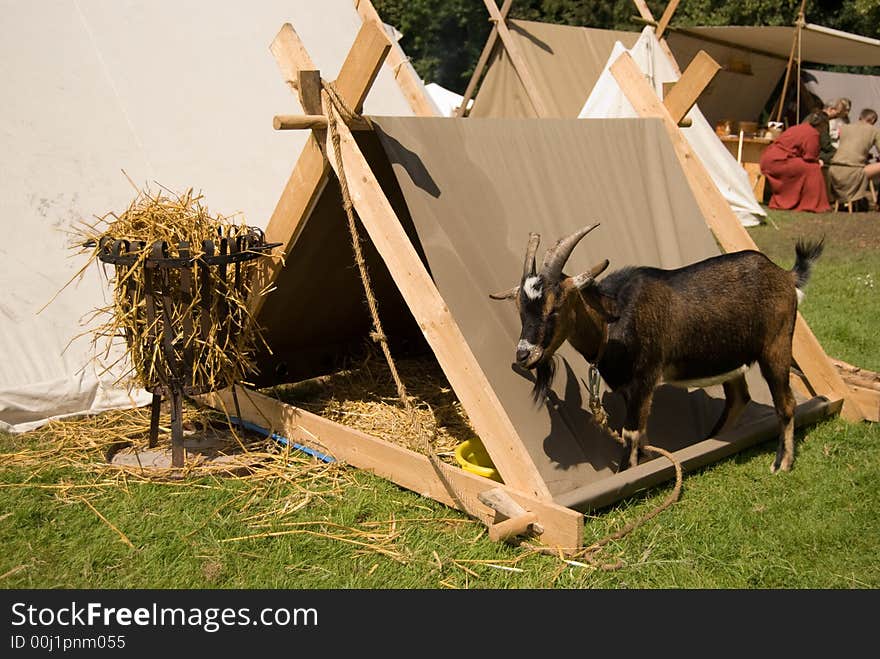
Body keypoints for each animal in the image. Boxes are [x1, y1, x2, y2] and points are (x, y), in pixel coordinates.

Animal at [492, 226, 820, 474]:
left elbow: (631, 433)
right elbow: (642, 434)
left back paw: (782, 463)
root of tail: (785, 275)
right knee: (739, 398)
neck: (612, 319)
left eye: (556, 306)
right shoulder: (630, 388)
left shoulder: (644, 378)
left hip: (776, 345)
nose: (524, 354)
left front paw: (627, 474)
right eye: (520, 308)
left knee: (785, 402)